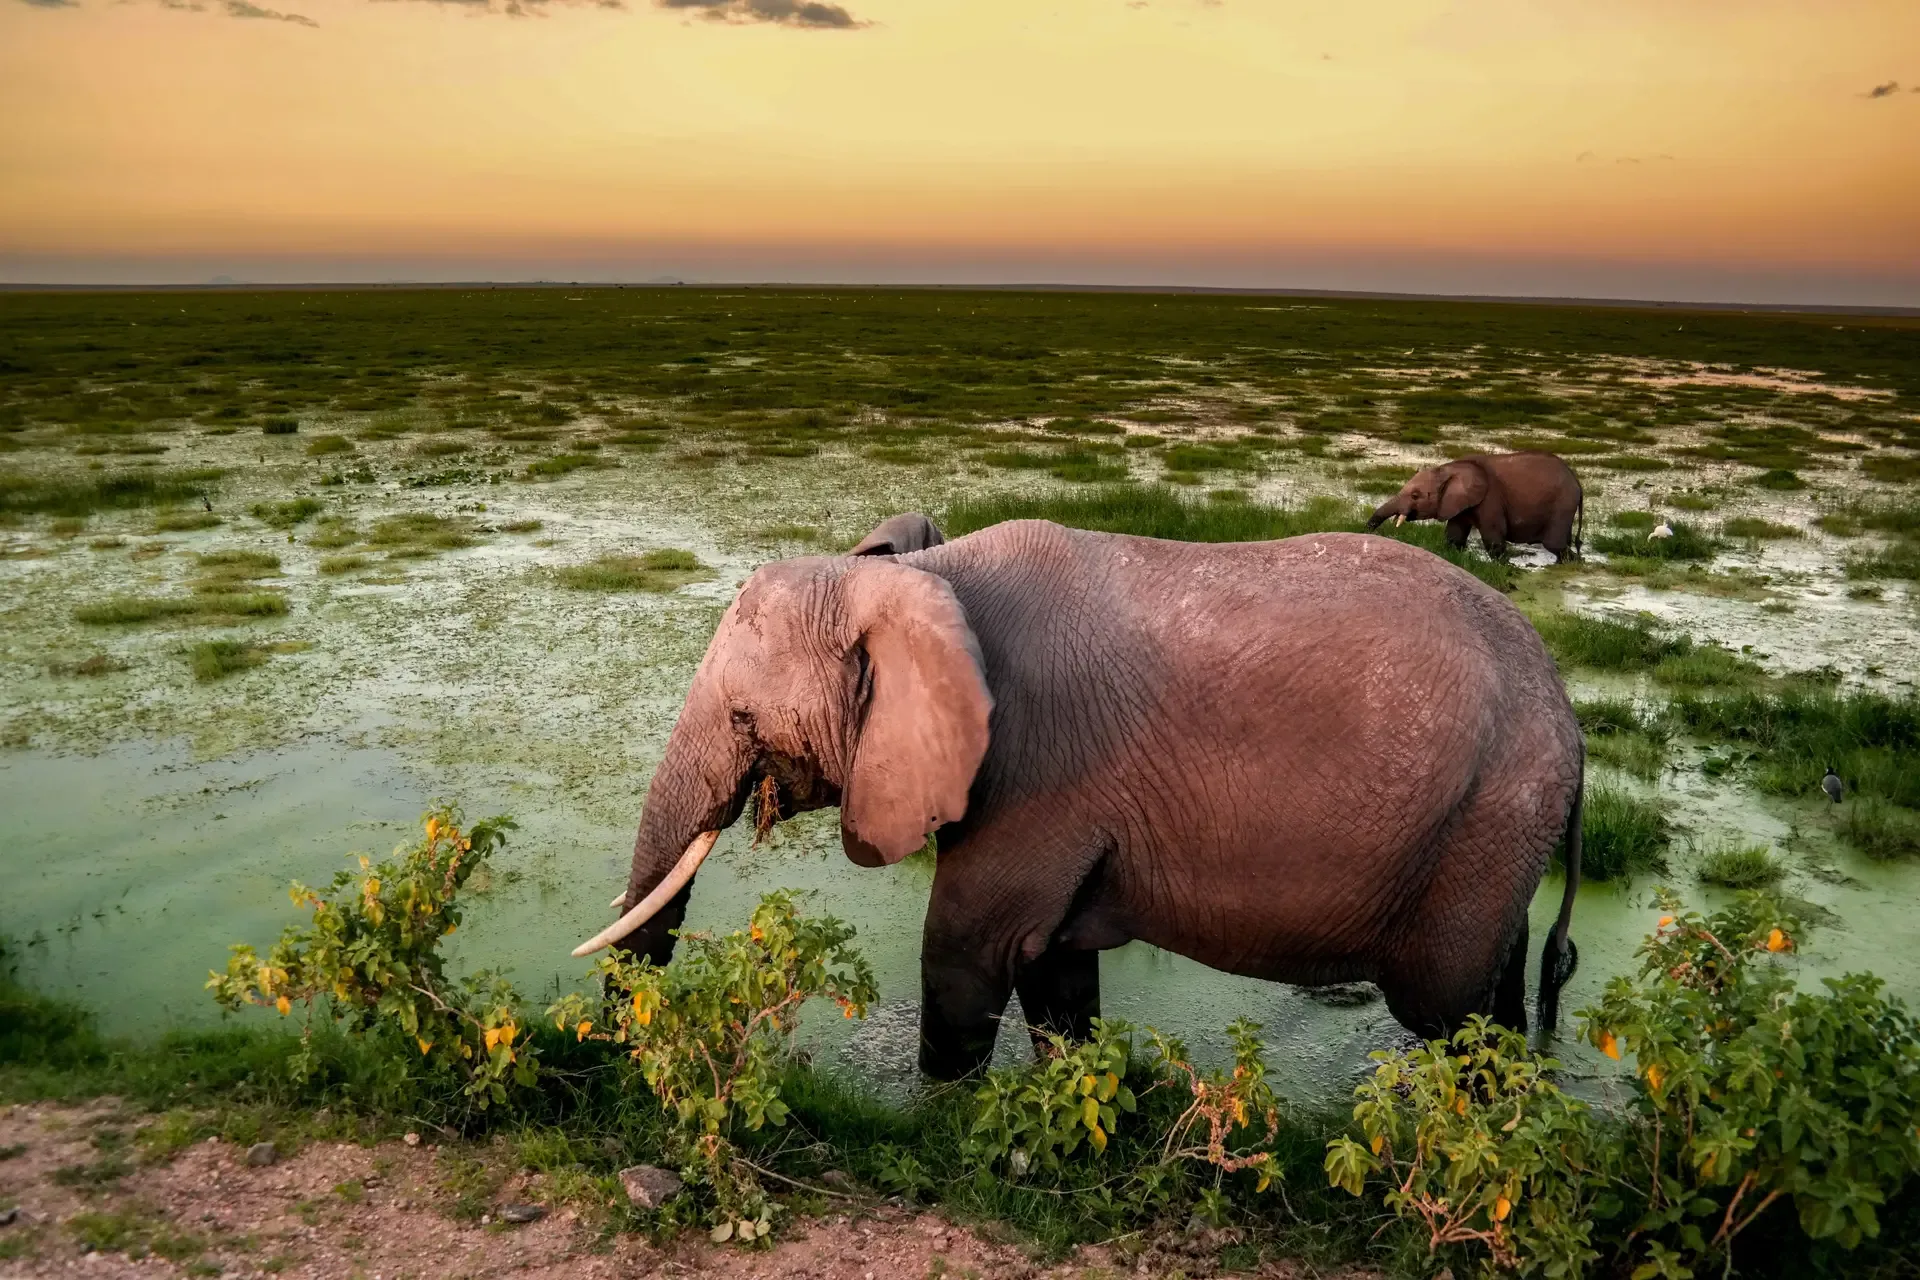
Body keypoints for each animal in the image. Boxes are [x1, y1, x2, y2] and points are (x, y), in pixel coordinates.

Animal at [573, 521, 1585, 1080]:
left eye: (744, 718)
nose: (619, 1056)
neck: (920, 579)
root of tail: (1570, 717)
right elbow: (1054, 970)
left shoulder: (1038, 769)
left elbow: (967, 952)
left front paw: (936, 1121)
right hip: (1494, 835)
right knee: (1494, 994)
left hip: (1485, 820)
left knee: (1447, 1013)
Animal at [1366, 452, 1584, 562]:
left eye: (1415, 496)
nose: (1365, 531)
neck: (1449, 468)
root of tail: (1578, 484)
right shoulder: (1457, 503)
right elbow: (1454, 536)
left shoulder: (1490, 499)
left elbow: (1493, 538)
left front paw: (1506, 567)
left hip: (1563, 504)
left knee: (1554, 544)